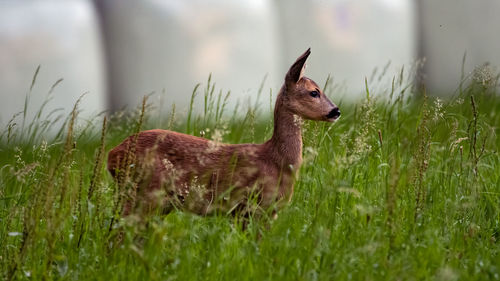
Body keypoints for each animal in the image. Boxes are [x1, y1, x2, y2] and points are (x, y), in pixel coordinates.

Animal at [105, 48, 340, 217]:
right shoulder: (252, 206)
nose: (336, 111)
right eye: (314, 92)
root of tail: (111, 155)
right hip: (143, 193)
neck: (276, 161)